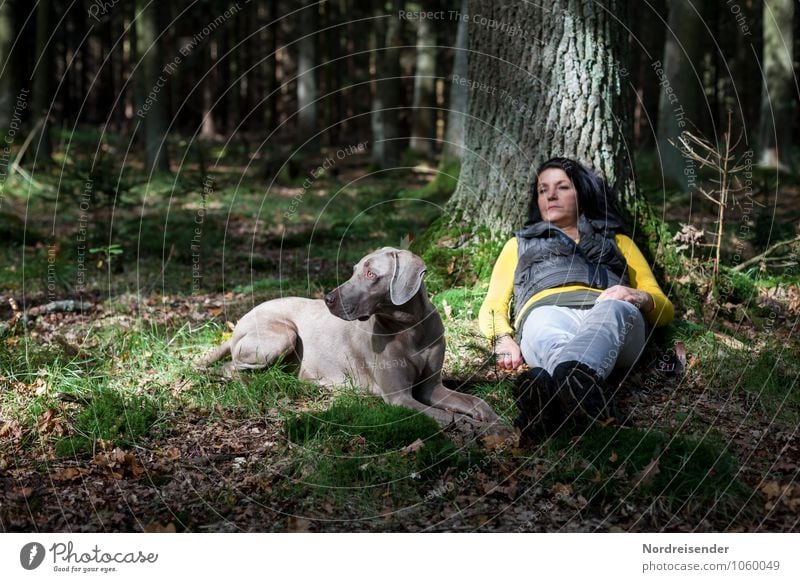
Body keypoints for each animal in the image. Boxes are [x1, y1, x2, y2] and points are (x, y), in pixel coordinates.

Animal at [197, 248, 500, 428]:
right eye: (354, 270)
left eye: (370, 273)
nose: (328, 299)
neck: (409, 328)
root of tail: (240, 321)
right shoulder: (399, 398)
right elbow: (448, 416)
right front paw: (474, 426)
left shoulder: (431, 388)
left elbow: (474, 401)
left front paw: (492, 417)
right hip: (283, 335)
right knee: (231, 367)